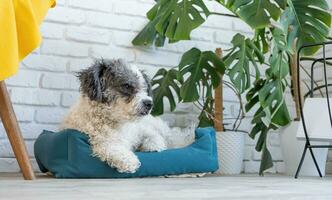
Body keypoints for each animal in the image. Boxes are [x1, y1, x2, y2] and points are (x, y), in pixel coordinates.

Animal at [61, 58, 193, 173]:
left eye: (145, 89)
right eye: (127, 86)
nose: (149, 103)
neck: (118, 122)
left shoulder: (143, 130)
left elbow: (154, 137)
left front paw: (152, 146)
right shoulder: (99, 138)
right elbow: (109, 147)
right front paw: (128, 160)